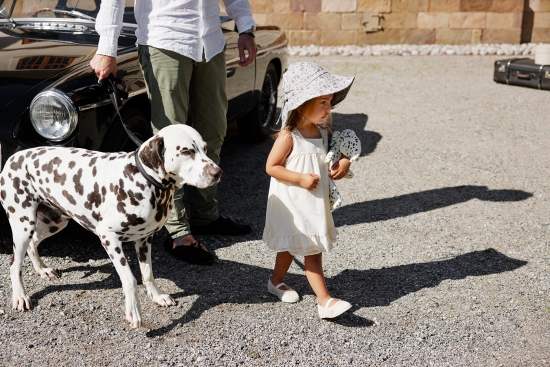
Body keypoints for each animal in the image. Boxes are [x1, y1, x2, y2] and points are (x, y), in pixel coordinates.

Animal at [0, 125, 222, 330]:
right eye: (186, 151)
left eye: (204, 148)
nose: (217, 173)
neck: (142, 179)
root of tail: (13, 157)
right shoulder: (109, 238)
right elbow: (130, 280)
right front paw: (134, 312)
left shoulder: (144, 239)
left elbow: (148, 274)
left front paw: (156, 296)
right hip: (23, 224)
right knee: (14, 264)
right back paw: (20, 296)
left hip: (54, 222)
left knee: (33, 244)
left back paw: (42, 270)